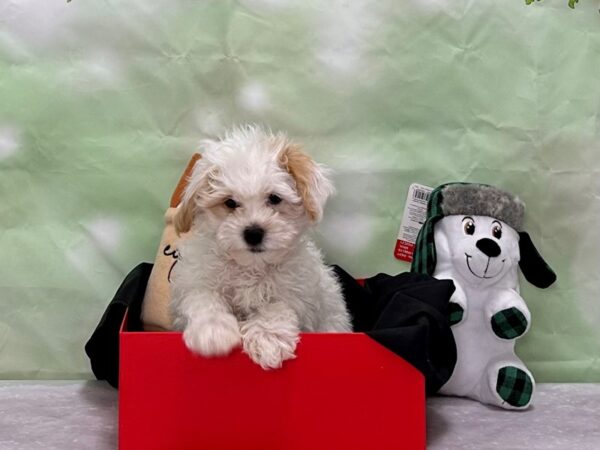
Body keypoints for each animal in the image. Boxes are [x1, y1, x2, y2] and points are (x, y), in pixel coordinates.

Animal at [170, 125, 352, 370]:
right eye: (230, 202)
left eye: (274, 198)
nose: (253, 233)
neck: (250, 267)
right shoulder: (194, 280)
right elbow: (203, 297)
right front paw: (213, 331)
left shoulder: (298, 293)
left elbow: (276, 307)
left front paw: (268, 340)